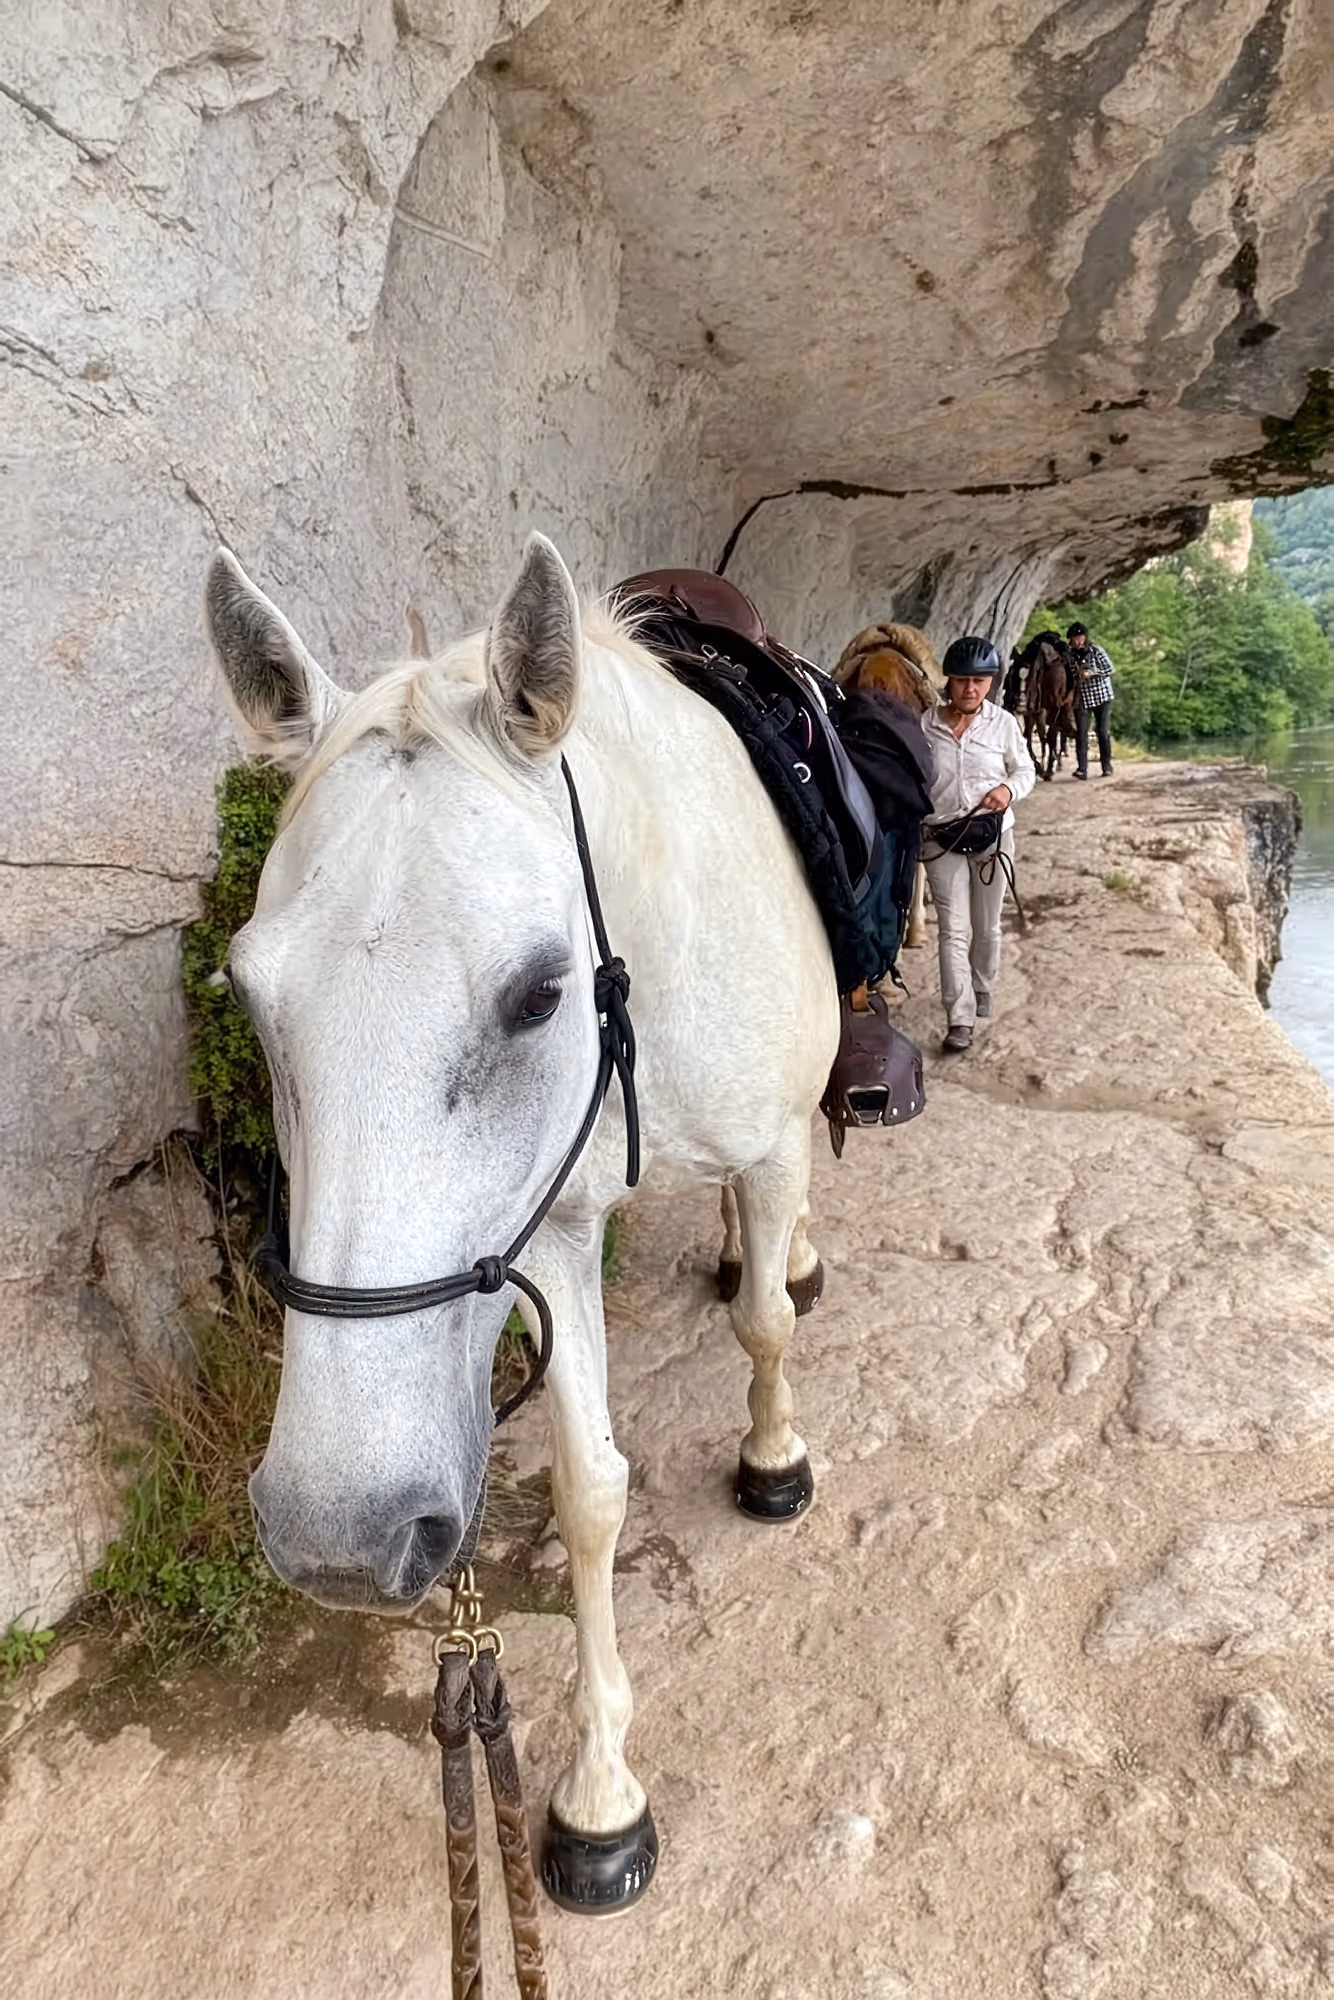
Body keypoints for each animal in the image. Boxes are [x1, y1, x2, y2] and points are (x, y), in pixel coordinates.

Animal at [204, 534, 840, 1913]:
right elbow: (592, 1490)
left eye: (541, 990)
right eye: (247, 993)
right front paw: (602, 1792)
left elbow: (766, 1328)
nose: (339, 1533)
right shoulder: (553, 1230)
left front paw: (772, 1456)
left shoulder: (772, 1142)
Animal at [1018, 629, 1076, 781]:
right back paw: (1047, 768)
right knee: (1048, 735)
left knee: (1031, 737)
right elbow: (1053, 735)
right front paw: (1050, 766)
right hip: (1050, 706)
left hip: (1034, 708)